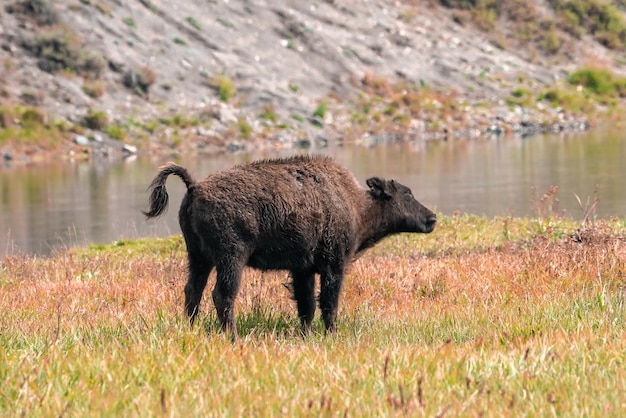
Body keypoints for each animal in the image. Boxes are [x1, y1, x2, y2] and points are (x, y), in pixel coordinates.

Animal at [143, 155, 434, 338]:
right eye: (406, 193)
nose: (432, 218)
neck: (355, 204)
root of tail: (195, 186)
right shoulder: (333, 265)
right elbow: (328, 303)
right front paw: (331, 335)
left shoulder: (303, 270)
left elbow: (307, 305)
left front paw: (307, 335)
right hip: (231, 257)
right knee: (222, 295)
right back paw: (233, 337)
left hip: (198, 256)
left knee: (193, 291)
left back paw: (192, 329)